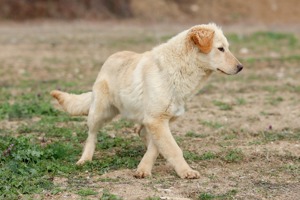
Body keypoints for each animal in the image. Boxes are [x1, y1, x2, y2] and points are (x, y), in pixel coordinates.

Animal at [51, 23, 244, 178]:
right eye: (220, 49)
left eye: (227, 48)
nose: (241, 67)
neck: (180, 69)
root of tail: (110, 58)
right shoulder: (156, 120)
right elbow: (173, 149)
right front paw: (185, 171)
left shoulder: (162, 120)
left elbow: (157, 147)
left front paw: (144, 168)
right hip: (100, 113)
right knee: (91, 135)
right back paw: (85, 159)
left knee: (140, 131)